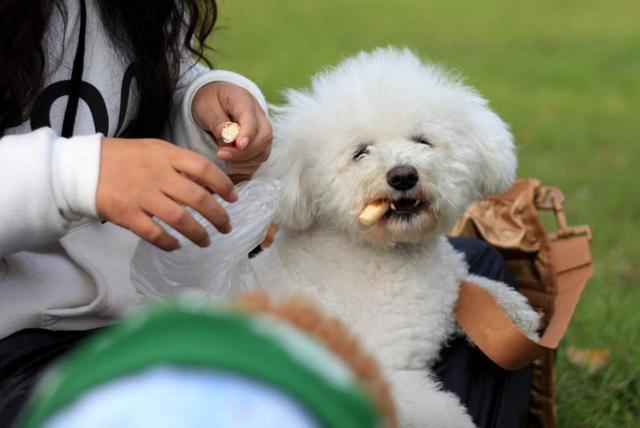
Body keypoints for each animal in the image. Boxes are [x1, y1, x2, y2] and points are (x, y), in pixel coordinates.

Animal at [250, 47, 540, 428]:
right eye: (361, 152)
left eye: (422, 141)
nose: (403, 175)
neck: (393, 254)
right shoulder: (384, 373)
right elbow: (442, 413)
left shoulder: (449, 290)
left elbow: (479, 287)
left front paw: (517, 314)